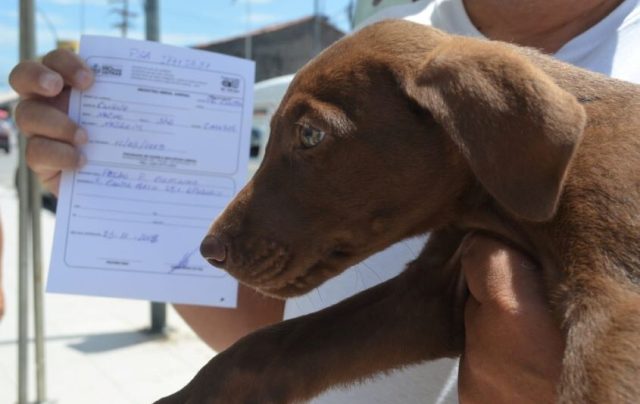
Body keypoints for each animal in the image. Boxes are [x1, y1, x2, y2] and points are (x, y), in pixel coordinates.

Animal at [158, 19, 636, 404]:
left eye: (310, 134)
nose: (209, 250)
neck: (494, 209)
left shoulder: (616, 298)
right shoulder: (428, 296)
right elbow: (274, 344)